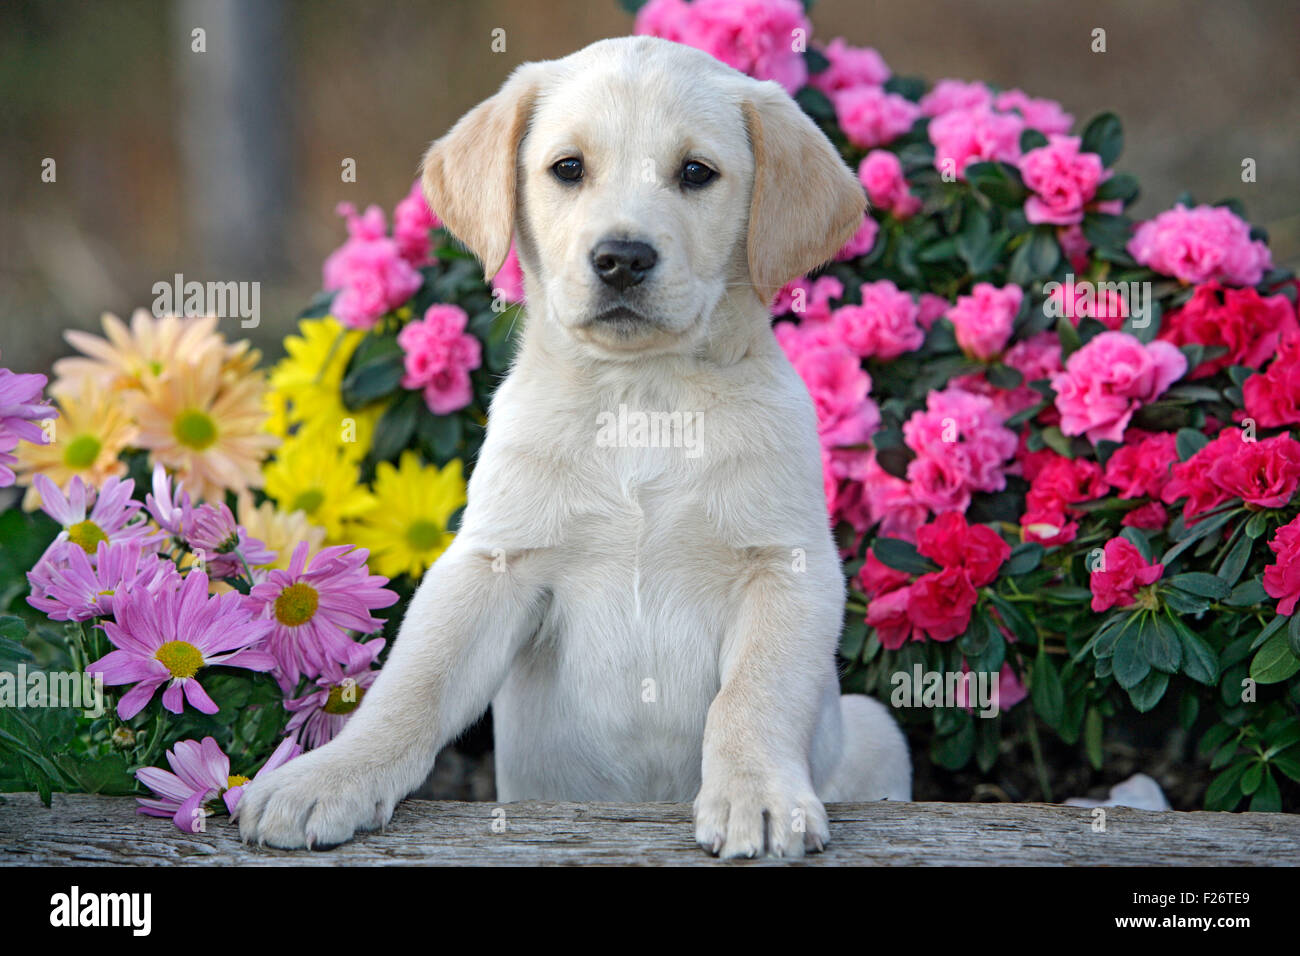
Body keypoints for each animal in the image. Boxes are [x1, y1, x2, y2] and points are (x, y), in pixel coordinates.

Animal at [244, 35, 915, 858]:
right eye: (568, 168)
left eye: (697, 172)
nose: (622, 257)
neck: (641, 400)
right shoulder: (491, 564)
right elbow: (414, 684)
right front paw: (330, 776)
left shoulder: (787, 566)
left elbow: (754, 694)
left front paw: (757, 793)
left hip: (877, 729)